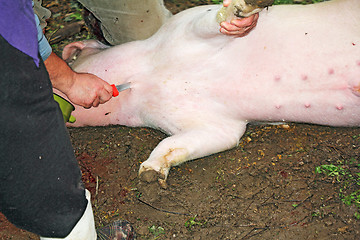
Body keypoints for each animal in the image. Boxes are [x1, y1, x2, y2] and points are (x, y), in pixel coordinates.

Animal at [62, 0, 360, 188]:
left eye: (73, 60)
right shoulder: (216, 125)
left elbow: (211, 21)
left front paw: (242, 11)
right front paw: (150, 175)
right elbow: (180, 143)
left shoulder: (186, 24)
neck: (144, 81)